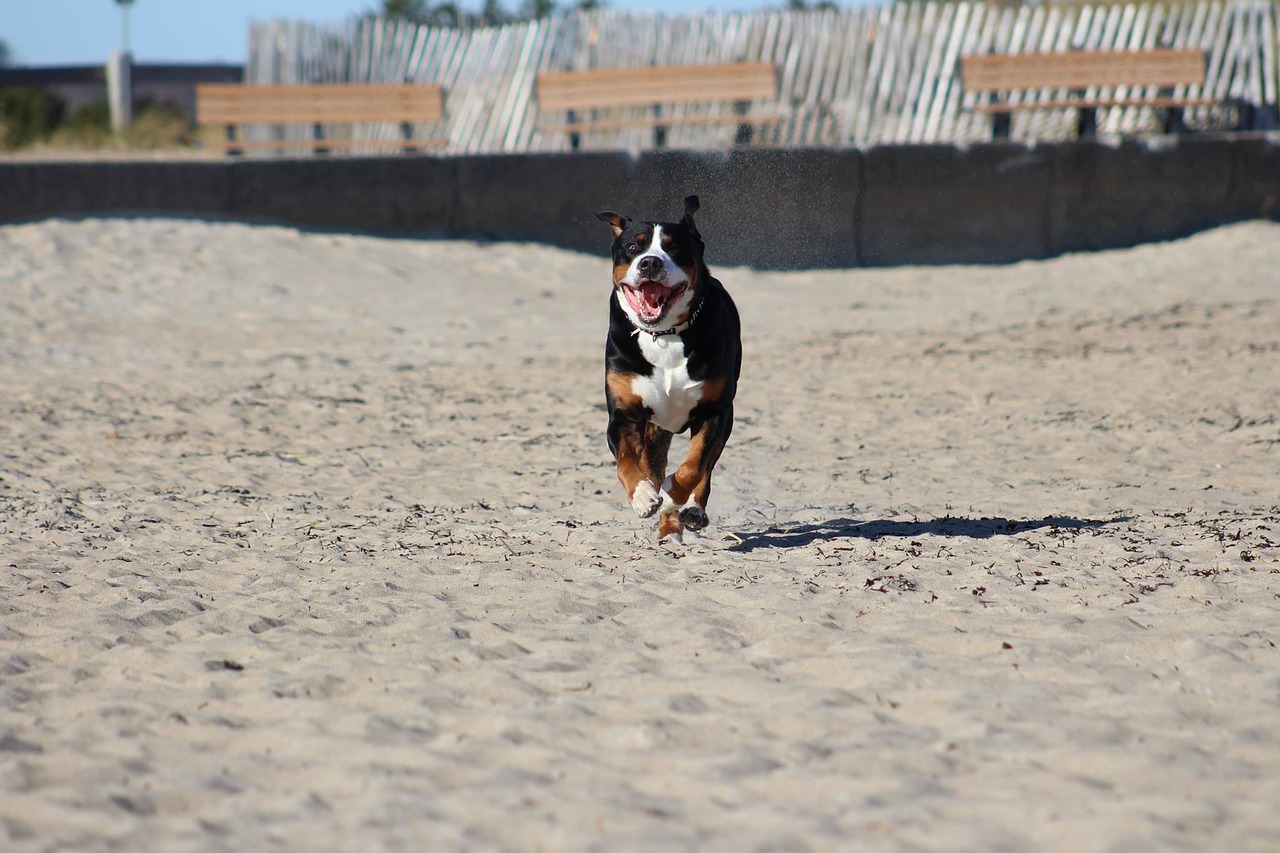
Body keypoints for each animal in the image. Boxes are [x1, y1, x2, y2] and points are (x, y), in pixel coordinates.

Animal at [596, 194, 742, 537]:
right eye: (633, 247)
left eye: (673, 247)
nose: (650, 262)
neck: (664, 335)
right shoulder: (624, 415)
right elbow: (627, 461)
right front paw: (643, 497)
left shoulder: (715, 412)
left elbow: (694, 466)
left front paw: (673, 495)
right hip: (655, 429)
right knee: (653, 463)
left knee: (705, 469)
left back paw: (690, 511)